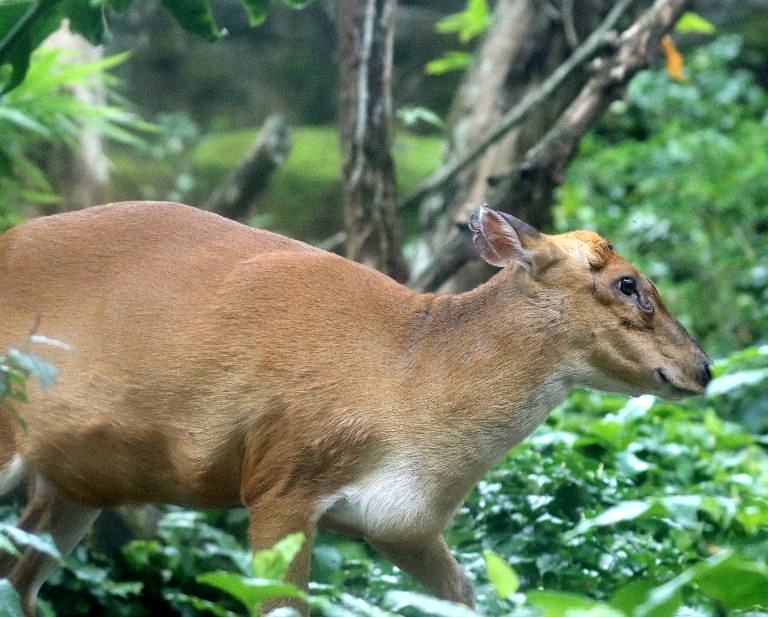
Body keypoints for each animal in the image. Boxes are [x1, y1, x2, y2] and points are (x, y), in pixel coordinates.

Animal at [0, 202, 711, 615]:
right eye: (629, 283)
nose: (701, 368)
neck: (410, 382)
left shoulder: (404, 525)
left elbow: (467, 598)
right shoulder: (281, 479)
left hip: (77, 483)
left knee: (20, 580)